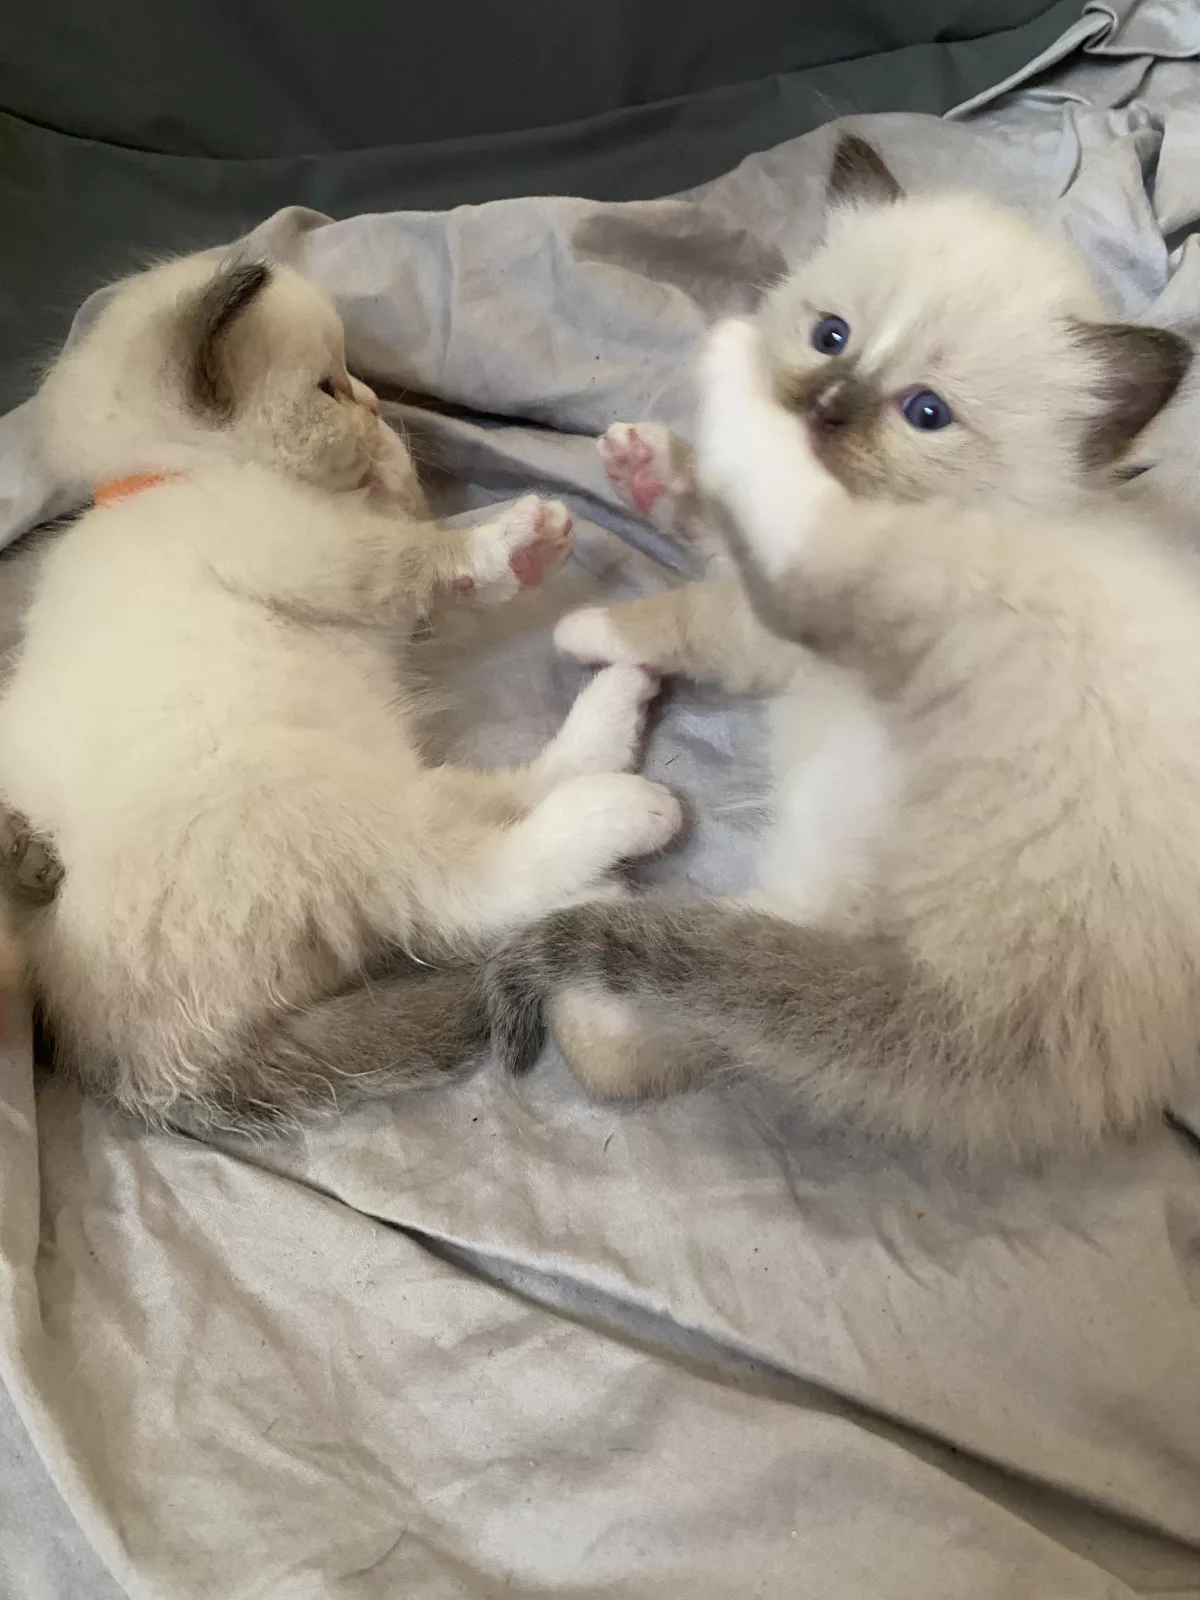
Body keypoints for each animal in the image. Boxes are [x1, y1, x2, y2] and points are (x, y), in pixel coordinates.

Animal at [0, 251, 682, 1131]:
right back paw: (626, 824)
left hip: (373, 776)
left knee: (502, 803)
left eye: (349, 375)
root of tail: (146, 1068)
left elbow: (403, 520)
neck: (168, 477)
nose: (375, 402)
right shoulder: (305, 548)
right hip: (315, 794)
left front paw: (398, 461)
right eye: (327, 386)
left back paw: (620, 705)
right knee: (458, 888)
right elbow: (412, 552)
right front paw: (514, 539)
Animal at [484, 133, 1200, 1161]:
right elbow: (717, 521)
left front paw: (594, 625)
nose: (821, 404)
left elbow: (697, 603)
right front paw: (649, 464)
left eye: (926, 413)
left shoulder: (788, 611)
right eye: (831, 336)